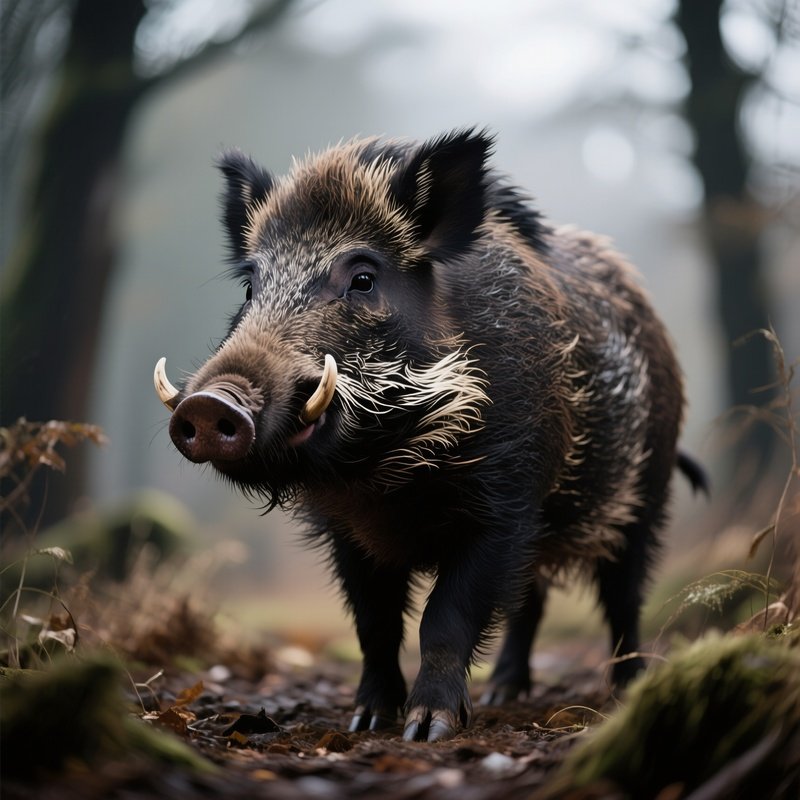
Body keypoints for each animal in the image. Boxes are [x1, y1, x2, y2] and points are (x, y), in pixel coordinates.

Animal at [154, 129, 705, 742]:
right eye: (252, 286)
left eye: (363, 279)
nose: (210, 404)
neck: (388, 476)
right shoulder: (347, 531)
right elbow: (374, 623)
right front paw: (366, 721)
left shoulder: (505, 504)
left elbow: (445, 617)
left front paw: (428, 730)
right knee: (530, 599)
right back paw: (504, 692)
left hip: (644, 495)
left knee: (624, 596)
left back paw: (625, 691)